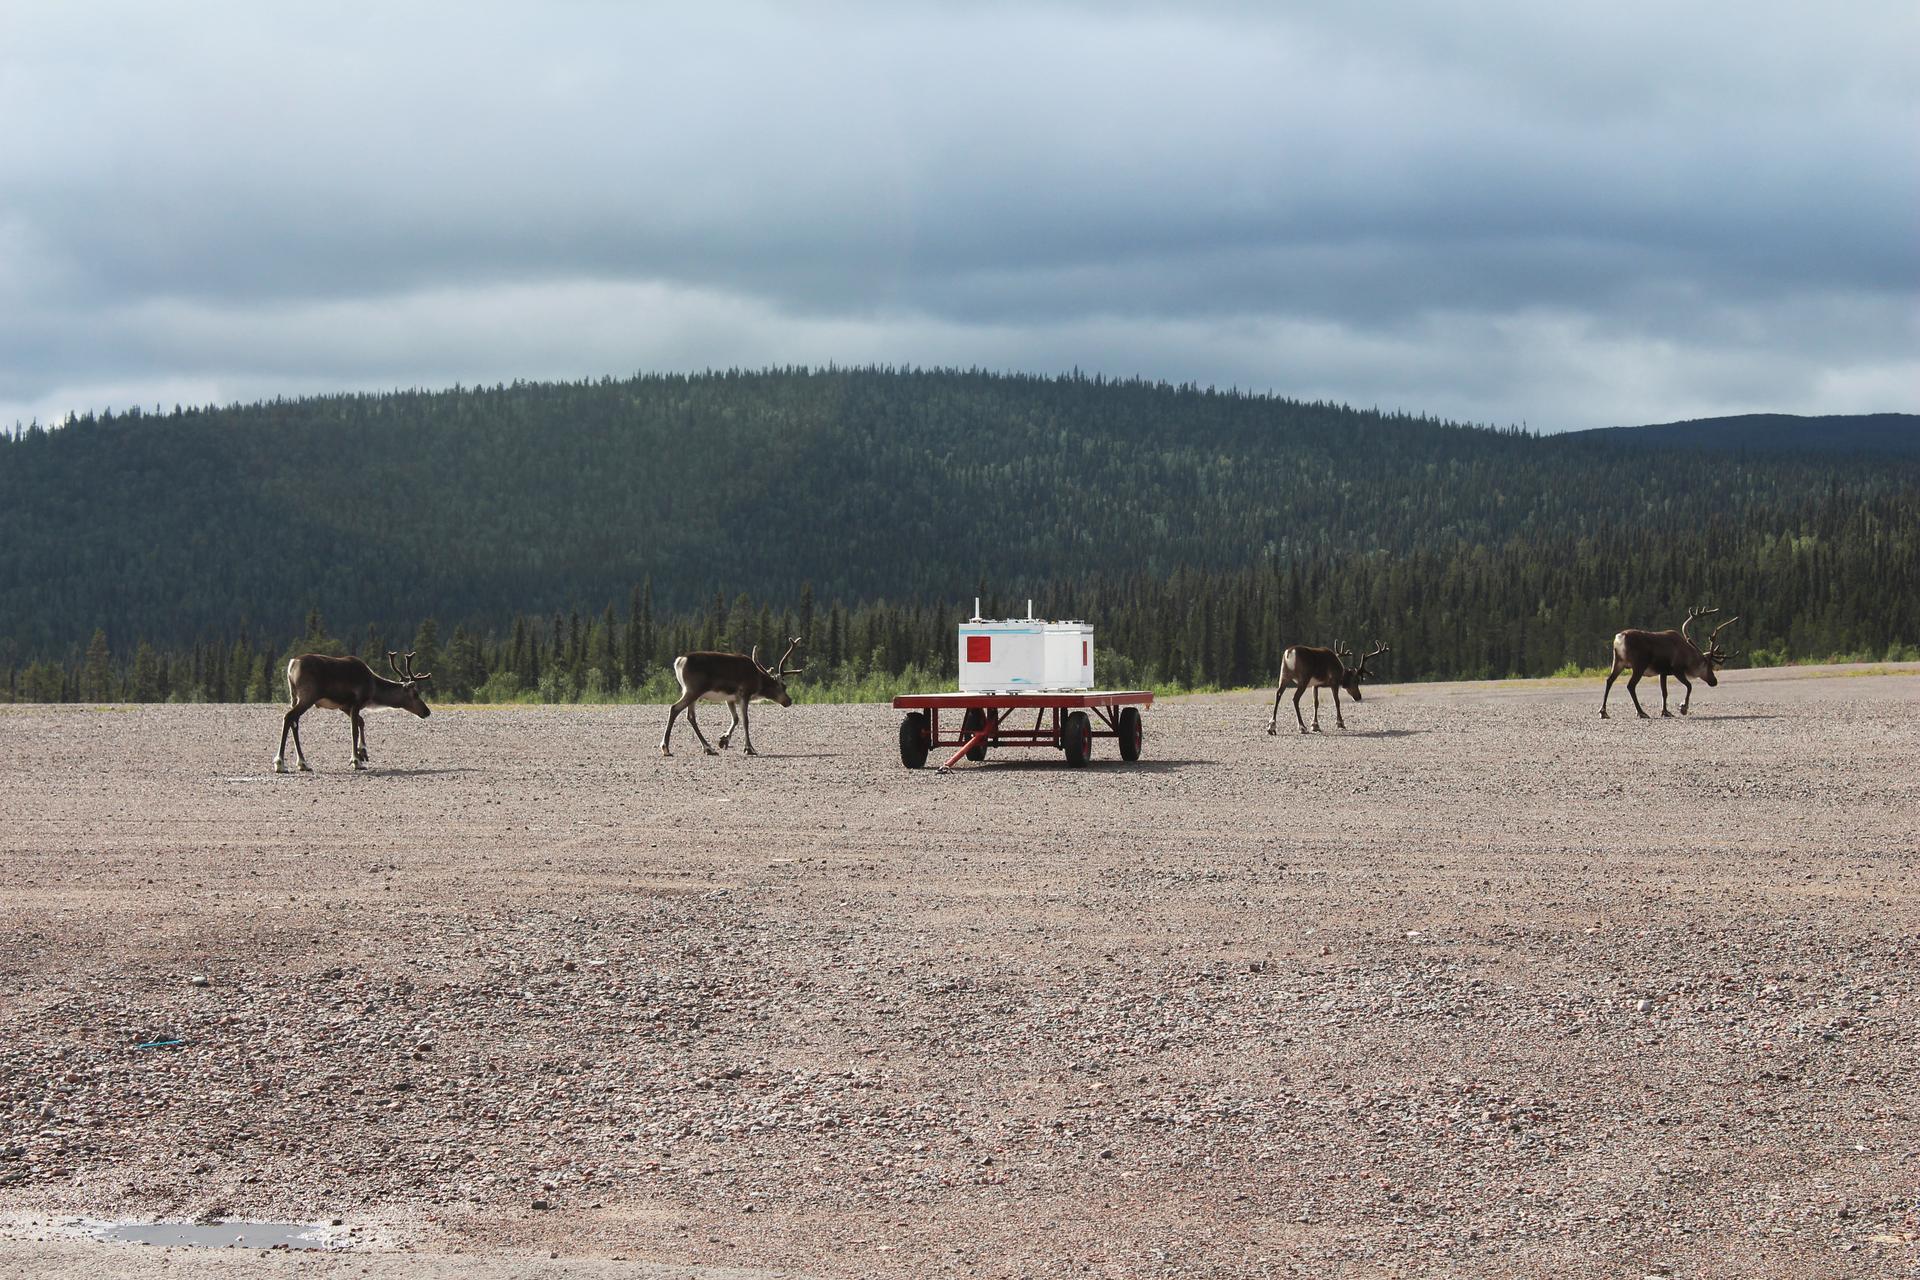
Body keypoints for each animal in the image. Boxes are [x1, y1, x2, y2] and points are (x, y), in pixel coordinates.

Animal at [274, 650, 431, 773]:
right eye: (415, 694)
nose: (427, 711)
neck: (373, 689)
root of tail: (292, 664)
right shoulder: (356, 702)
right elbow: (354, 730)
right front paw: (356, 761)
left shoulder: (344, 706)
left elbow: (361, 722)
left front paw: (363, 752)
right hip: (308, 696)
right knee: (288, 717)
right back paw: (280, 763)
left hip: (294, 697)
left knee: (294, 723)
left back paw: (303, 763)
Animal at [660, 637, 803, 758]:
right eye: (784, 686)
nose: (789, 701)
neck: (758, 680)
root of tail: (680, 661)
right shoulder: (744, 694)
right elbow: (745, 720)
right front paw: (749, 748)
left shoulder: (730, 699)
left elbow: (735, 719)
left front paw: (724, 739)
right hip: (693, 690)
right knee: (674, 708)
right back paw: (666, 748)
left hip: (690, 692)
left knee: (690, 716)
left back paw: (708, 748)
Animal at [1600, 608, 1738, 719]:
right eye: (1709, 666)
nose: (1714, 681)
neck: (1688, 656)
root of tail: (1620, 638)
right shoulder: (1677, 670)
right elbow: (1689, 686)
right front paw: (1683, 708)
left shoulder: (1663, 672)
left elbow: (1664, 692)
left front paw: (1665, 712)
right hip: (1639, 665)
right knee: (1630, 685)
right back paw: (1641, 712)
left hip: (1618, 662)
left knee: (1609, 680)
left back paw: (1603, 712)